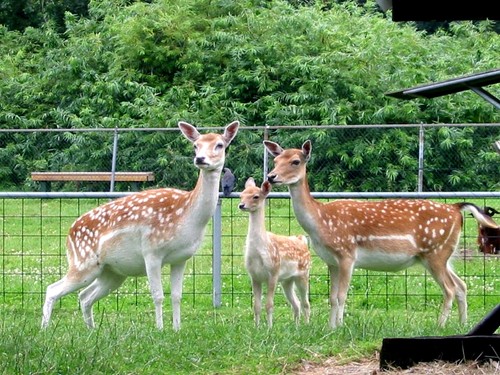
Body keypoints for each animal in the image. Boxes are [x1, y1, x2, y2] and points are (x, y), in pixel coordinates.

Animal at [40, 120, 239, 332]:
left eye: (219, 144)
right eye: (195, 145)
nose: (200, 159)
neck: (186, 217)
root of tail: (69, 234)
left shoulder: (181, 257)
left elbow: (177, 296)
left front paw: (177, 329)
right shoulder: (151, 251)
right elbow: (158, 296)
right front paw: (160, 330)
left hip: (111, 272)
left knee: (85, 296)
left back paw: (91, 330)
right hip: (82, 262)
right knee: (52, 289)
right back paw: (45, 329)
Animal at [237, 178, 308, 328]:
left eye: (256, 196)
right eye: (241, 195)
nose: (241, 205)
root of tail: (302, 240)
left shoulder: (273, 272)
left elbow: (269, 305)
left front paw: (269, 328)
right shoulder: (254, 276)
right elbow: (256, 306)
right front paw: (256, 327)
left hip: (304, 273)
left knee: (306, 302)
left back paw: (307, 324)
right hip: (287, 280)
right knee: (296, 303)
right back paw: (296, 326)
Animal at [264, 140, 498, 328]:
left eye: (295, 161)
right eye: (275, 160)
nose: (271, 176)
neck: (320, 222)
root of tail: (456, 209)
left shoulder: (347, 253)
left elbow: (341, 295)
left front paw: (339, 327)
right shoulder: (331, 261)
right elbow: (332, 297)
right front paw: (330, 327)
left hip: (436, 252)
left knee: (449, 288)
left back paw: (440, 326)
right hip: (443, 254)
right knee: (462, 285)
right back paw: (463, 324)